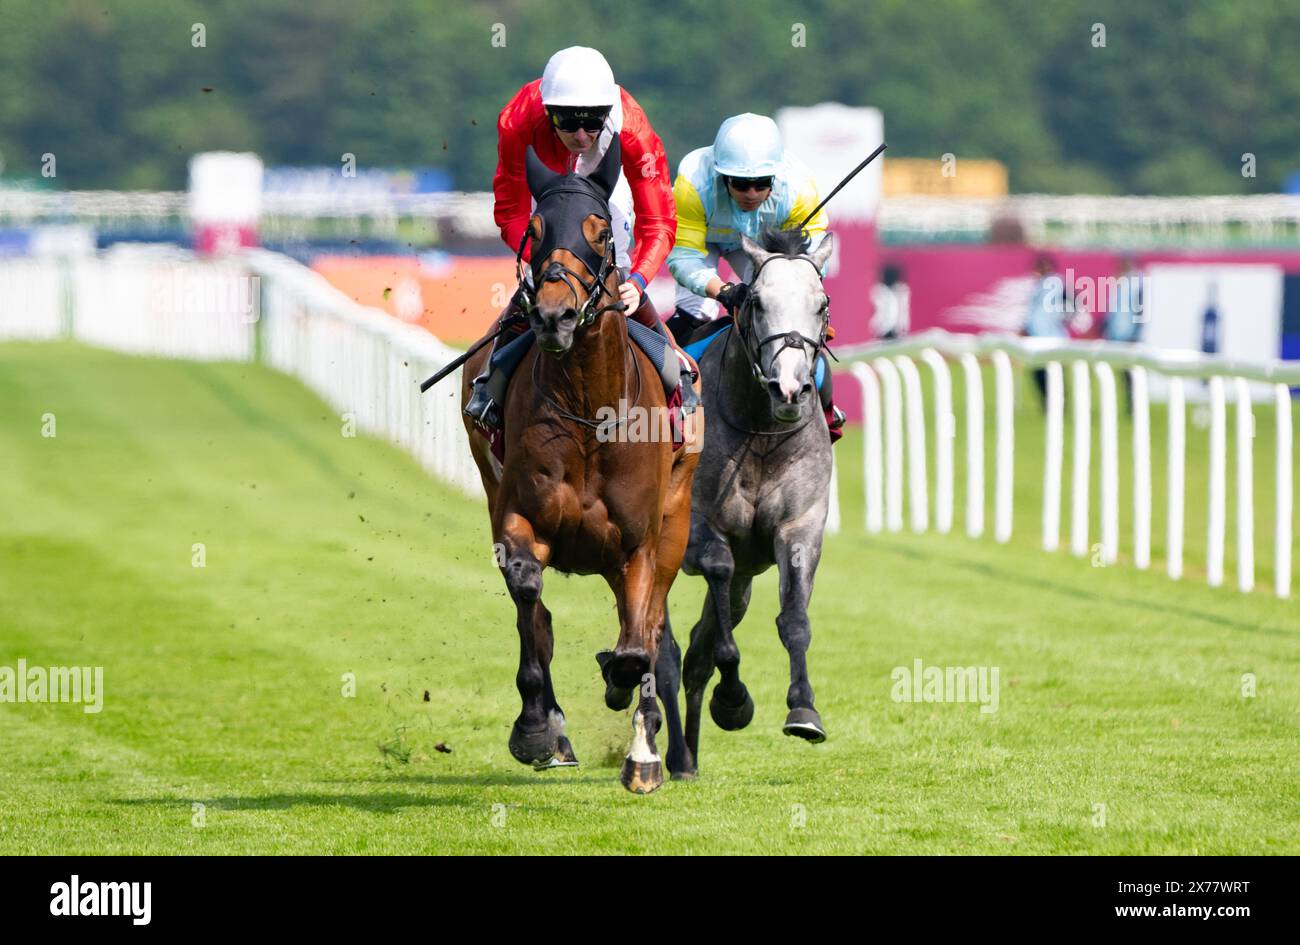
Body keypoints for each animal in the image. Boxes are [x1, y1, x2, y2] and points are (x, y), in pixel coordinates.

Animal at [460, 138, 702, 790]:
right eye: (536, 230)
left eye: (600, 232)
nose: (553, 316)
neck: (591, 411)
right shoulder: (519, 518)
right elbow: (530, 600)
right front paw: (536, 729)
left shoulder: (640, 543)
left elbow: (639, 646)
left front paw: (641, 747)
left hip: (676, 523)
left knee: (649, 627)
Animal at [660, 224, 832, 779]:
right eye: (756, 301)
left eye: (822, 304)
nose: (790, 389)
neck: (758, 431)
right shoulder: (698, 532)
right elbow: (717, 584)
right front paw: (733, 700)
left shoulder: (800, 527)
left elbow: (793, 619)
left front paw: (804, 709)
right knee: (662, 652)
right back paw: (668, 751)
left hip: (743, 584)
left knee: (694, 653)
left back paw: (688, 757)